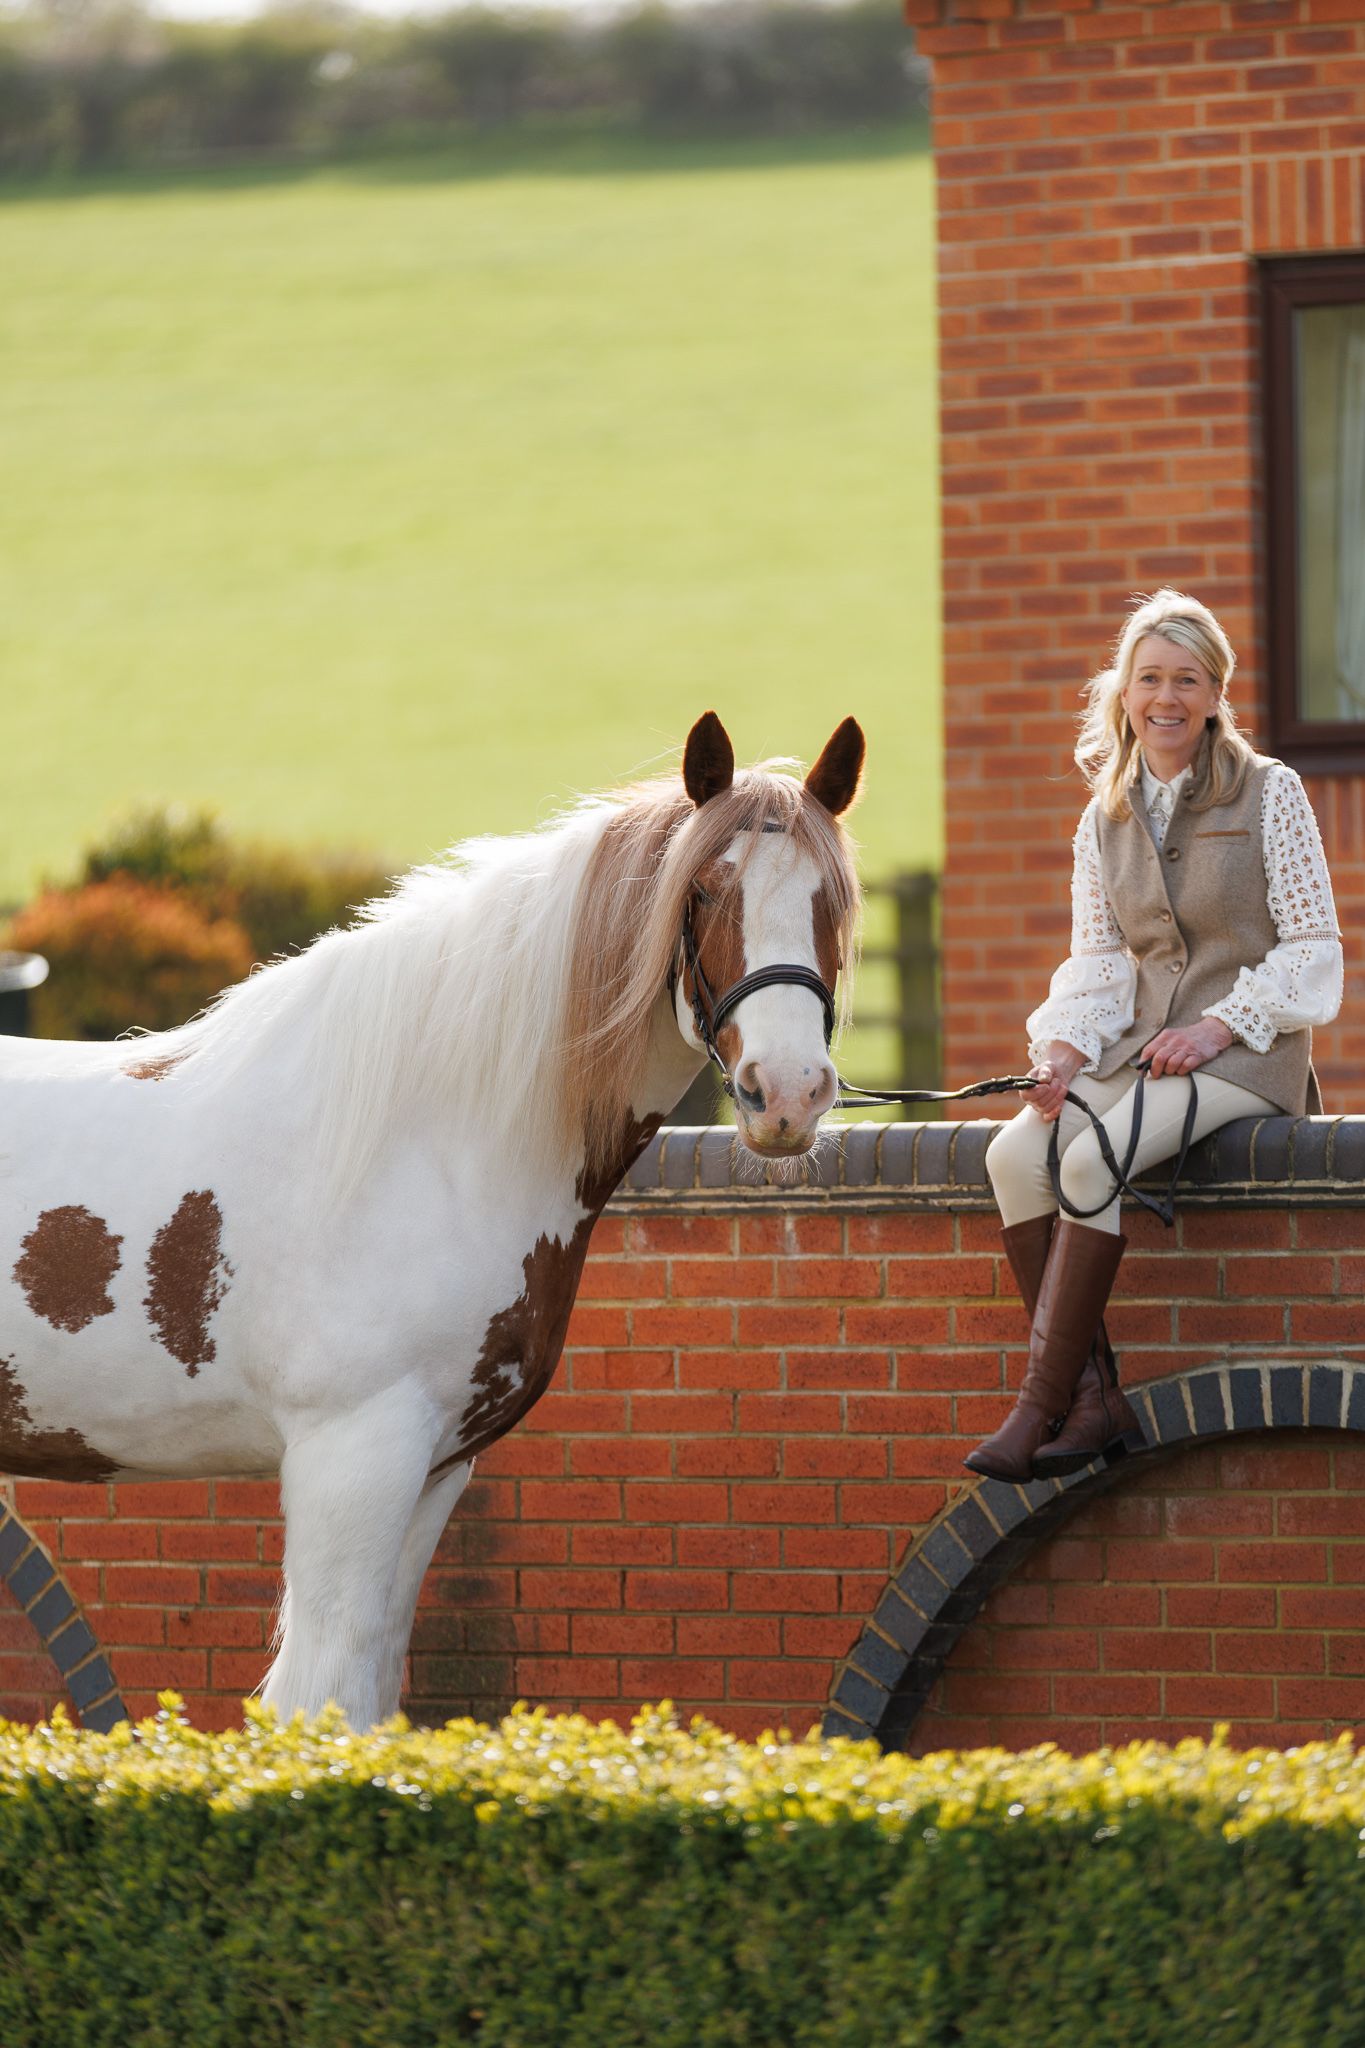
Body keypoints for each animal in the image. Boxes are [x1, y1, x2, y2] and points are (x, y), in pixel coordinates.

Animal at [0, 710, 864, 1728]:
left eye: (835, 902)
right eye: (701, 892)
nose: (789, 1093)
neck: (424, 1140)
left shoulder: (436, 1465)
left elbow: (376, 1683)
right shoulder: (352, 1451)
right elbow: (321, 1694)